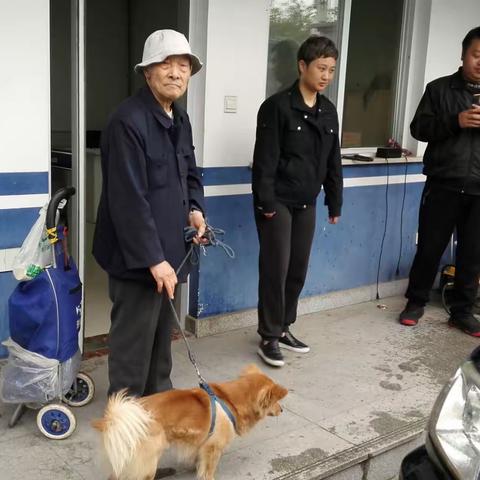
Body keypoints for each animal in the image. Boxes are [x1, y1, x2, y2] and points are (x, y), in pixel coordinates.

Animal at [94, 364, 288, 480]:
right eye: (275, 402)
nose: (282, 410)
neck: (230, 400)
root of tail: (115, 419)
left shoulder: (202, 444)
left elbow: (199, 459)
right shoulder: (213, 448)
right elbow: (209, 469)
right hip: (148, 459)